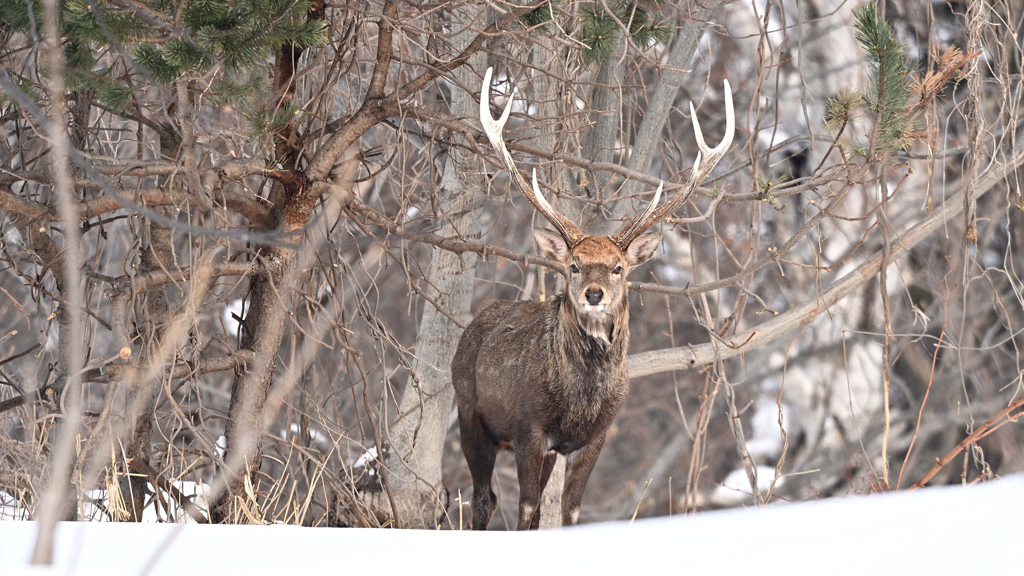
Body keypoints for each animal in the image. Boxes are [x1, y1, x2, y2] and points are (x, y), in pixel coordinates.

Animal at [452, 65, 733, 528]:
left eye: (618, 267)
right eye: (574, 264)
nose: (594, 294)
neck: (580, 399)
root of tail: (475, 321)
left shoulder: (592, 437)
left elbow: (569, 509)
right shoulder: (529, 428)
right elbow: (526, 506)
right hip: (469, 413)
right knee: (483, 498)